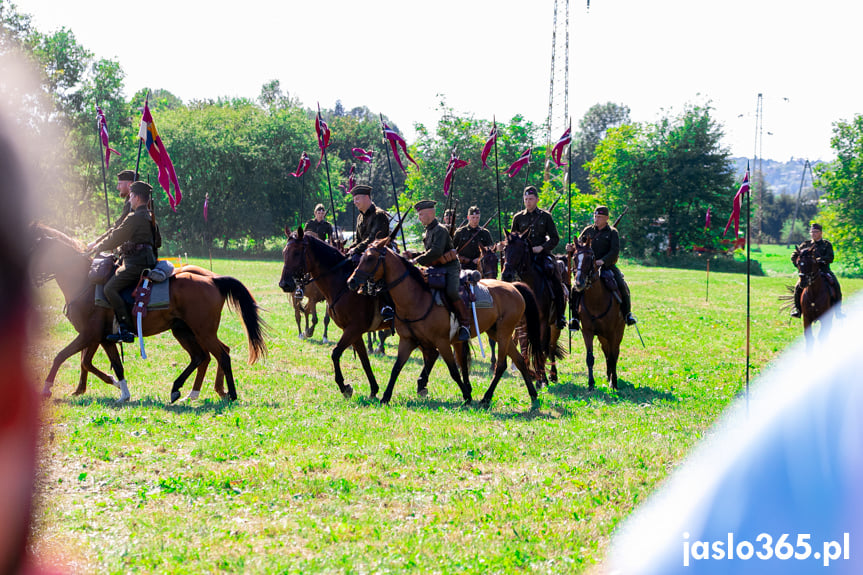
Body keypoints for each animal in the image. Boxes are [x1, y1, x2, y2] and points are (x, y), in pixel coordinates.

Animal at [31, 223, 266, 402]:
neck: (85, 281)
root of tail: (213, 280)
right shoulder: (101, 338)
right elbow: (102, 364)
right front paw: (119, 389)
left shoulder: (89, 335)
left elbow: (61, 357)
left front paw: (46, 388)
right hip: (184, 331)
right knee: (203, 356)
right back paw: (187, 391)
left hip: (203, 331)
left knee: (221, 355)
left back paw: (229, 394)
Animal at [344, 238, 540, 410]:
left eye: (370, 258)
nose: (351, 281)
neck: (417, 298)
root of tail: (514, 287)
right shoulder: (407, 341)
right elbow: (396, 368)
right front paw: (385, 397)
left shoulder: (443, 342)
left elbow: (454, 370)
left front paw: (466, 396)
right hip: (496, 332)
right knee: (520, 361)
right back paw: (533, 397)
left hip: (504, 333)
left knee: (501, 366)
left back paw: (486, 398)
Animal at [500, 230, 568, 388]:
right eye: (505, 249)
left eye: (521, 250)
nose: (506, 275)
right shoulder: (522, 324)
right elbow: (524, 346)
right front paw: (532, 375)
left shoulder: (542, 322)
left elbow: (541, 346)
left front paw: (542, 379)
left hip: (554, 325)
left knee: (551, 346)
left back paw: (552, 375)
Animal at [572, 238, 624, 392]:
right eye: (574, 257)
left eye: (591, 258)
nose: (579, 283)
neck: (596, 300)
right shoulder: (587, 332)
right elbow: (590, 358)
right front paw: (591, 383)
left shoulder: (612, 333)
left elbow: (613, 357)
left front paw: (614, 383)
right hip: (602, 336)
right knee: (607, 352)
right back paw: (608, 375)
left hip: (618, 333)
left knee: (614, 353)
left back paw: (612, 378)